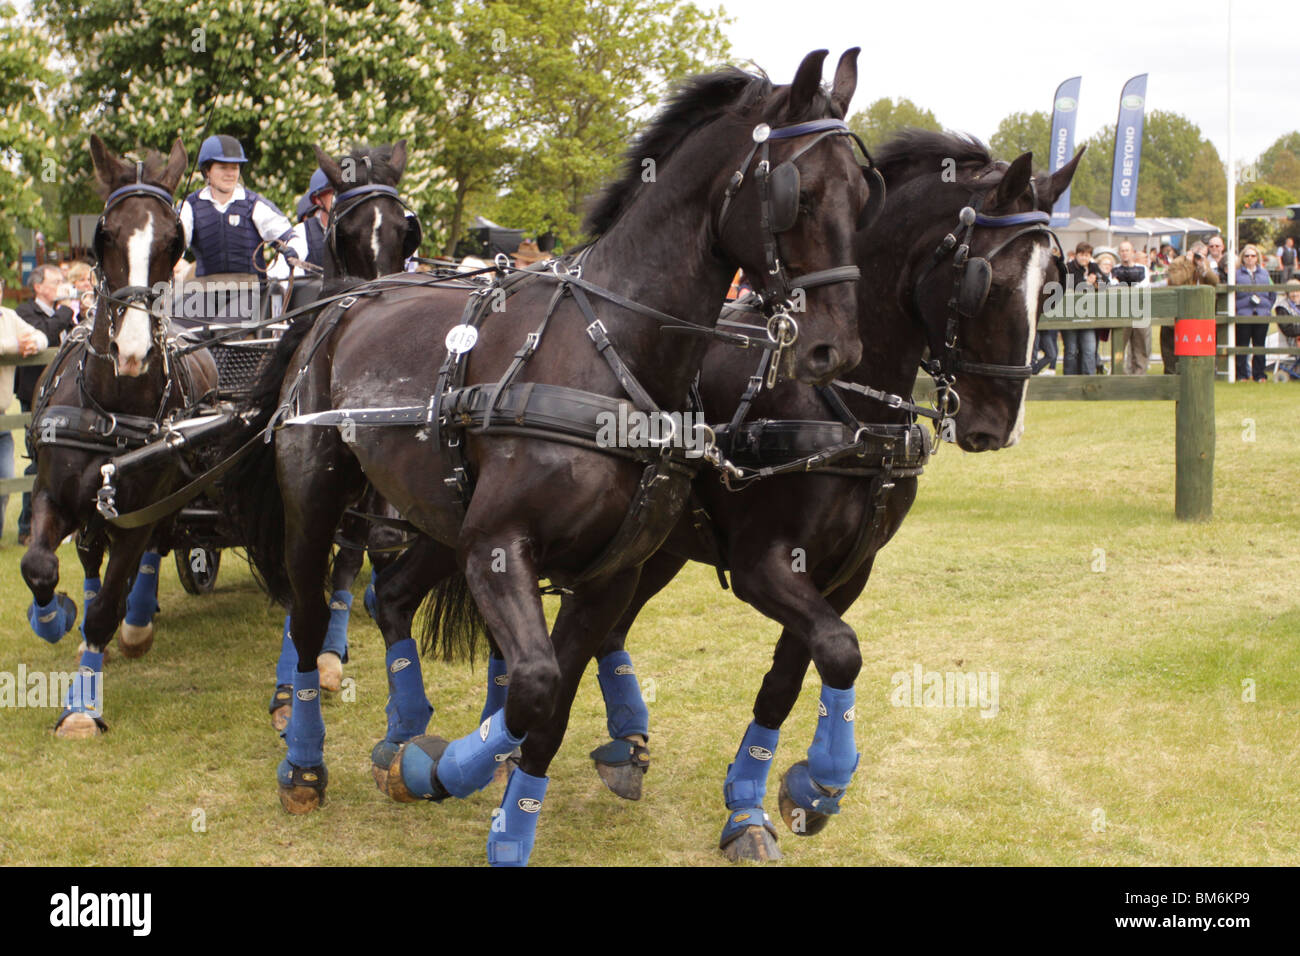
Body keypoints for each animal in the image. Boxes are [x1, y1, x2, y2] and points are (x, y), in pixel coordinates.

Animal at [20, 136, 218, 738]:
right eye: (103, 236)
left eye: (175, 241)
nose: (131, 352)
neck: (110, 408)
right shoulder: (51, 493)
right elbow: (40, 566)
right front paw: (53, 617)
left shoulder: (142, 504)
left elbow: (110, 603)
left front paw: (83, 707)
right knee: (87, 554)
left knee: (150, 550)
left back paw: (137, 623)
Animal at [223, 49, 874, 866]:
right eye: (798, 194)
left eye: (865, 196)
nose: (836, 349)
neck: (610, 350)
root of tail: (342, 299)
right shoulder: (498, 545)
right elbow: (532, 684)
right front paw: (448, 772)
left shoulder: (608, 573)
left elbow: (554, 701)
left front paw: (503, 819)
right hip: (317, 498)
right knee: (311, 617)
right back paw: (307, 761)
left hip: (433, 511)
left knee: (390, 597)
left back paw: (400, 736)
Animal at [577, 130, 1084, 861]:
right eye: (986, 281)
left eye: (1053, 285)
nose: (1000, 426)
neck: (837, 403)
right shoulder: (764, 564)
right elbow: (841, 650)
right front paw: (801, 788)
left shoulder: (846, 571)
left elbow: (796, 673)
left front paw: (784, 794)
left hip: (660, 547)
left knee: (609, 627)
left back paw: (622, 743)